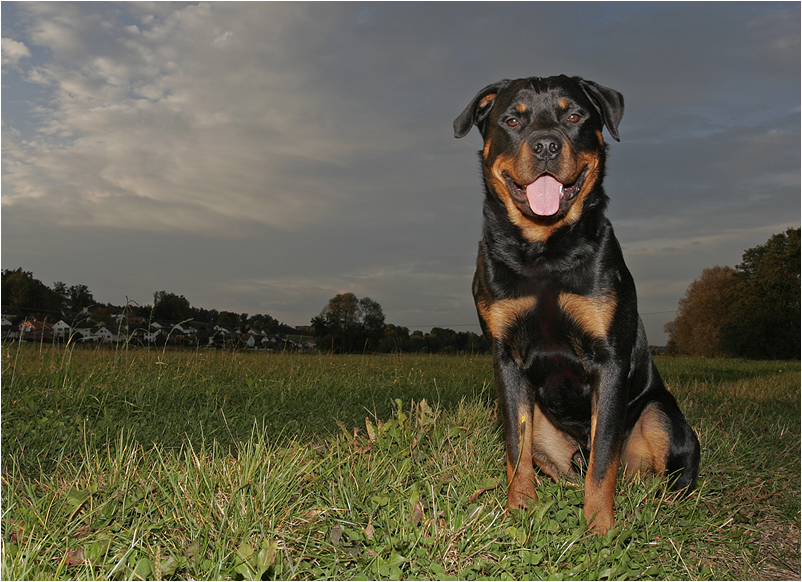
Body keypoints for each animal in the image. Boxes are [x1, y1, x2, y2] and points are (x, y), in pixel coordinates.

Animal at [454, 75, 696, 536]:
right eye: (513, 119)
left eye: (574, 116)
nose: (547, 145)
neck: (545, 251)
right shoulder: (506, 358)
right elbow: (516, 447)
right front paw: (520, 510)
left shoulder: (609, 359)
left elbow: (604, 457)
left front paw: (599, 526)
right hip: (548, 431)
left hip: (660, 415)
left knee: (665, 475)